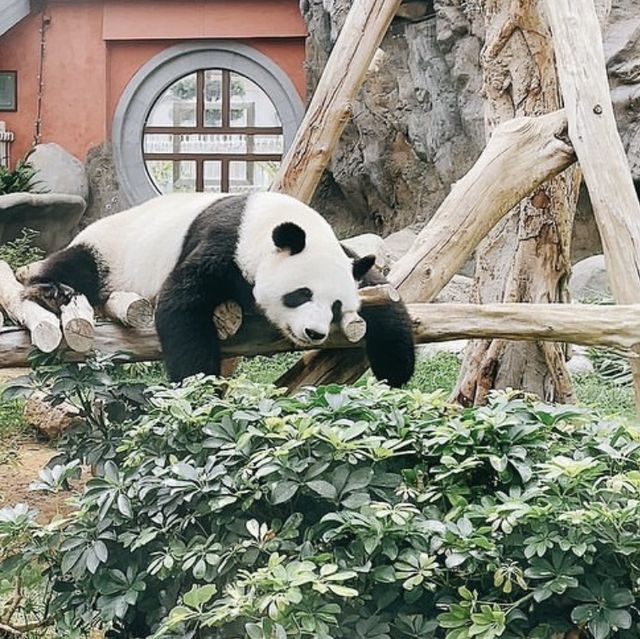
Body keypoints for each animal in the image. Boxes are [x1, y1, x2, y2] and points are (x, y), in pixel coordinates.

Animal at [23, 191, 416, 384]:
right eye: (302, 294)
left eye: (336, 306)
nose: (314, 333)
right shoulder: (225, 244)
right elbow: (181, 304)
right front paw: (201, 386)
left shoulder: (341, 253)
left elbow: (381, 291)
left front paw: (396, 368)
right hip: (111, 250)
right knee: (78, 265)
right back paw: (52, 289)